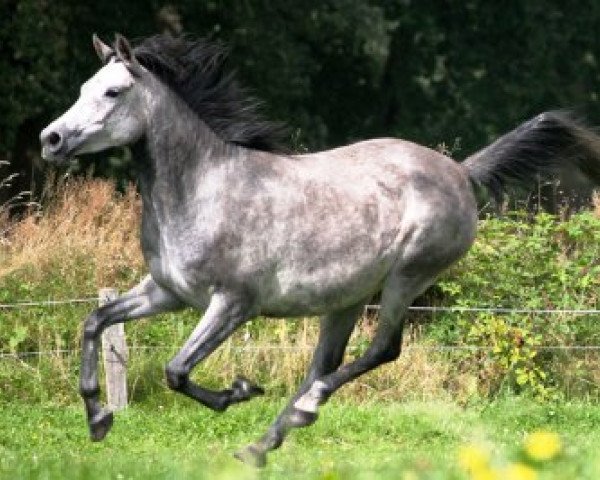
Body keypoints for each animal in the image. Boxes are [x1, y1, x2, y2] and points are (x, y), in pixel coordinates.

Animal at [39, 34, 600, 468]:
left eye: (113, 91)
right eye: (83, 88)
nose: (51, 139)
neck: (203, 187)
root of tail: (461, 172)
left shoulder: (233, 303)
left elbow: (176, 370)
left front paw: (238, 391)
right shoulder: (167, 292)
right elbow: (95, 321)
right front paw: (98, 418)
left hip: (405, 279)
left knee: (380, 351)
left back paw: (301, 410)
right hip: (347, 298)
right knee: (325, 363)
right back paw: (263, 444)